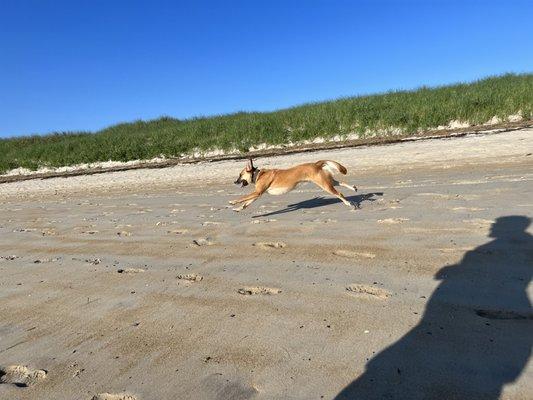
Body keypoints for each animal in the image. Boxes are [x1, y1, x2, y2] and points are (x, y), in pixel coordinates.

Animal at [230, 158, 358, 211]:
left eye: (240, 175)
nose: (234, 182)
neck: (258, 174)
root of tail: (316, 164)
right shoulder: (258, 194)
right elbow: (246, 203)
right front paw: (238, 208)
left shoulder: (257, 192)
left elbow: (243, 198)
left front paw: (233, 202)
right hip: (327, 181)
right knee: (340, 183)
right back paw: (353, 188)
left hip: (325, 185)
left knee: (339, 193)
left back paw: (348, 203)